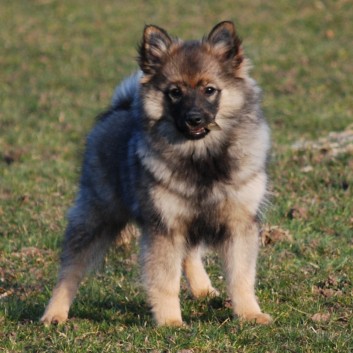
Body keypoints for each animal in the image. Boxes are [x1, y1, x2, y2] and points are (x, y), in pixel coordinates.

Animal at [42, 20, 272, 326]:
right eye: (175, 92)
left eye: (210, 90)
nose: (194, 118)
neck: (201, 157)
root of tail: (119, 108)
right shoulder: (165, 226)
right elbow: (165, 280)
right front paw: (170, 322)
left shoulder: (237, 223)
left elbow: (241, 276)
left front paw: (249, 314)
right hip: (97, 215)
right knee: (70, 268)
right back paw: (54, 313)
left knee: (189, 255)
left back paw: (203, 289)